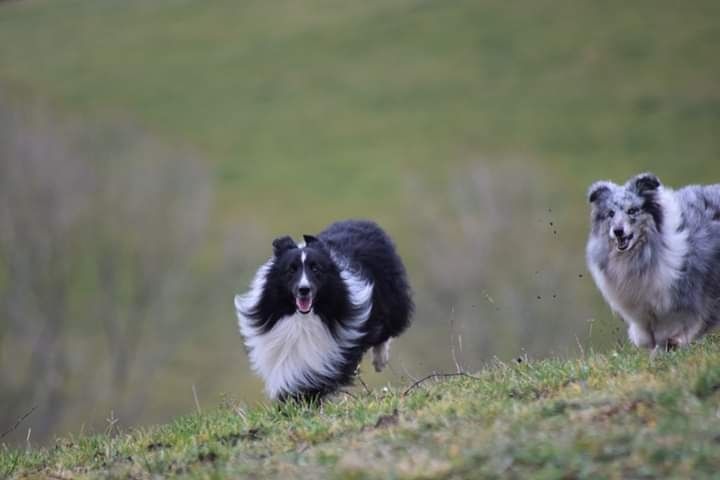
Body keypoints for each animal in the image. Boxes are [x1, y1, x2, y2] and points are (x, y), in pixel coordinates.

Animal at [235, 219, 414, 400]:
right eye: (291, 269)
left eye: (316, 269)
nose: (304, 289)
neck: (304, 320)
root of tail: (364, 222)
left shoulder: (332, 352)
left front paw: (303, 398)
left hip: (392, 301)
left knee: (386, 331)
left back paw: (380, 361)